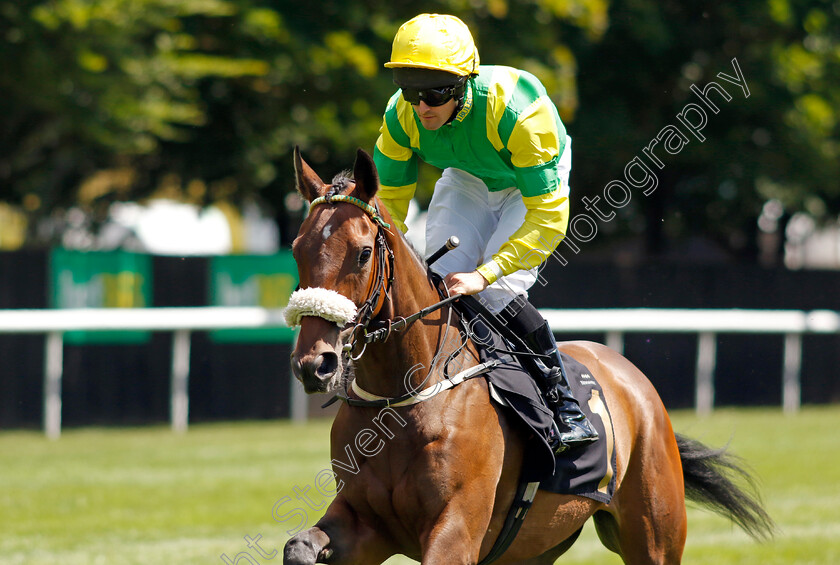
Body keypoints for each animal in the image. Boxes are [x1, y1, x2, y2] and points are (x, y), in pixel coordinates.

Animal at [284, 148, 776, 560]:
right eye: (296, 250)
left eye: (364, 253)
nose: (315, 364)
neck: (407, 396)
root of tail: (631, 376)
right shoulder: (366, 525)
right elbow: (298, 546)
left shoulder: (455, 531)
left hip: (654, 532)